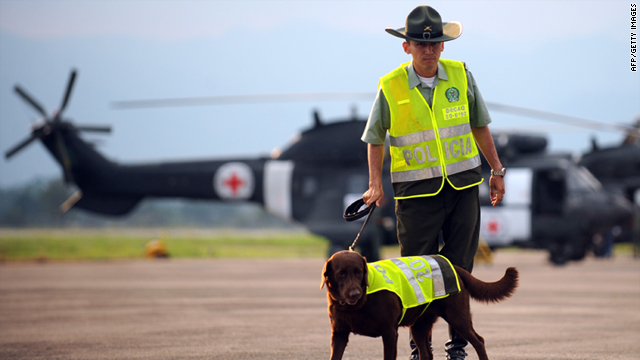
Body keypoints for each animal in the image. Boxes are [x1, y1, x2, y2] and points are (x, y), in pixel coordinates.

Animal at [320, 250, 520, 360]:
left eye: (359, 271)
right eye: (341, 273)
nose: (355, 293)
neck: (356, 306)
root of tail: (454, 266)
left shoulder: (389, 332)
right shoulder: (339, 334)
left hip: (457, 316)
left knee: (479, 341)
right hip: (419, 325)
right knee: (426, 353)